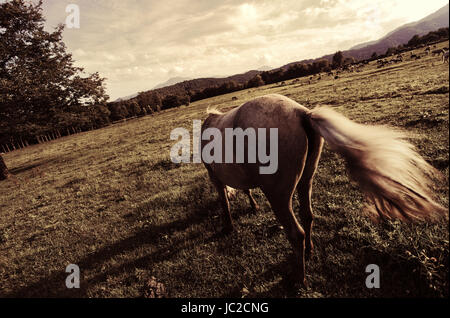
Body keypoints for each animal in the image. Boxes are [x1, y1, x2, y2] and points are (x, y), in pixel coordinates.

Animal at [201, 93, 446, 286]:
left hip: (279, 196)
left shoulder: (214, 177)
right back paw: (309, 251)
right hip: (305, 181)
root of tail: (302, 113)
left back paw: (298, 278)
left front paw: (229, 226)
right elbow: (246, 191)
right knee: (307, 216)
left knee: (296, 232)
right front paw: (252, 206)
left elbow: (224, 200)